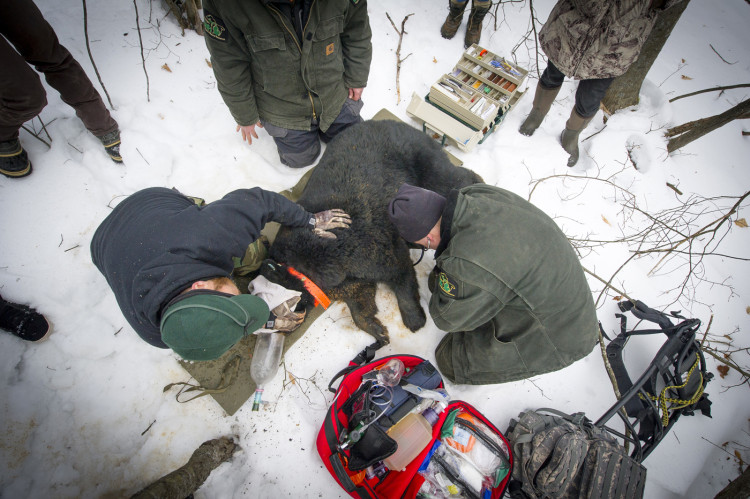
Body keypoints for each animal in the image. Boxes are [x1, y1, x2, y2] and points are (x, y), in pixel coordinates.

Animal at [262, 122, 484, 344]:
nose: (278, 331)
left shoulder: (372, 249)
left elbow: (400, 273)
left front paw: (415, 319)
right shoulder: (349, 275)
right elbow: (359, 298)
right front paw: (378, 330)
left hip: (426, 168)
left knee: (450, 179)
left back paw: (476, 181)